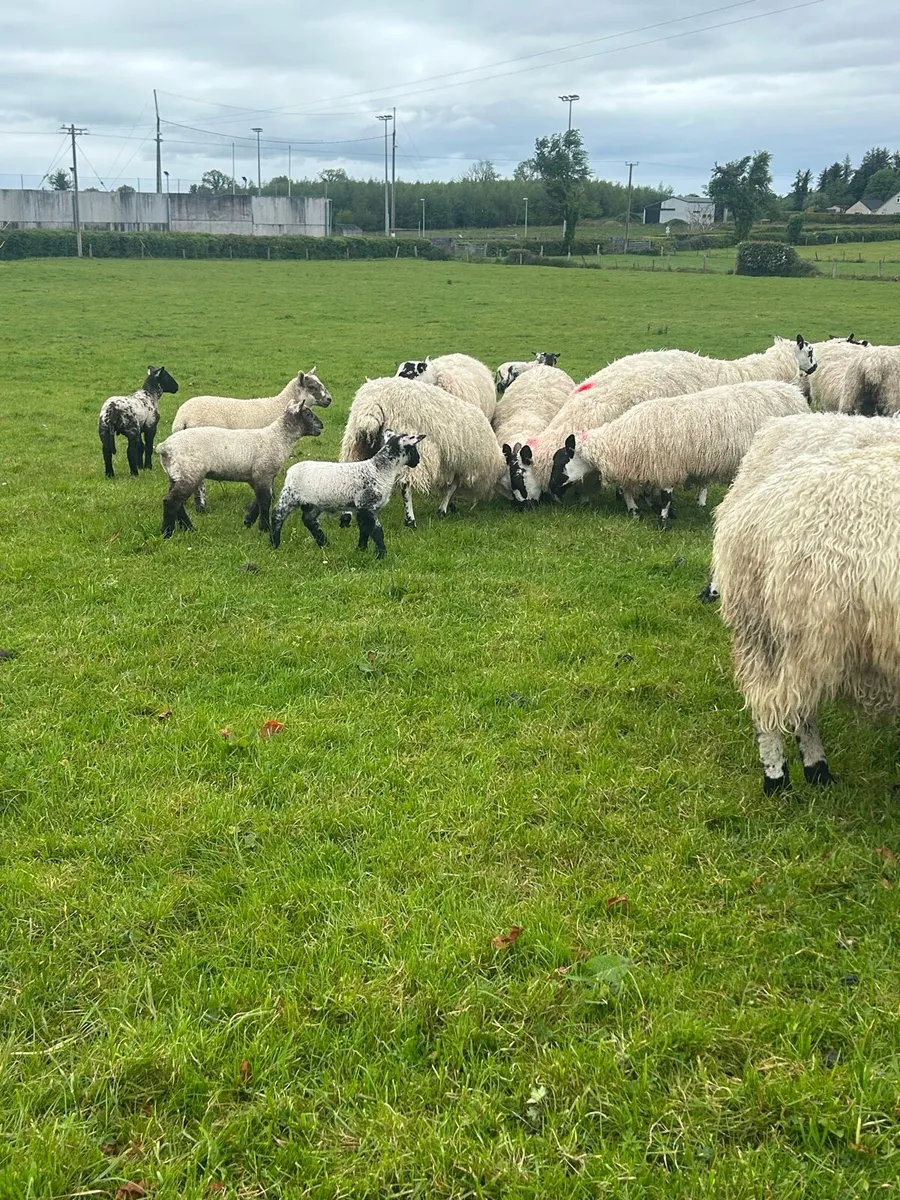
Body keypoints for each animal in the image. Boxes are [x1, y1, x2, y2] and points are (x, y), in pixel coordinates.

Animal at [155, 398, 323, 538]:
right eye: (308, 413)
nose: (322, 425)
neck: (278, 437)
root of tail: (165, 447)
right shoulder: (264, 473)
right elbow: (265, 501)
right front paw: (264, 528)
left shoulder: (259, 477)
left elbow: (259, 500)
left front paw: (248, 521)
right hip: (189, 473)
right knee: (171, 502)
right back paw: (167, 532)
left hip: (176, 474)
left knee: (177, 503)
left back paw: (188, 528)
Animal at [270, 433, 426, 557]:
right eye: (414, 448)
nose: (418, 460)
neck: (379, 470)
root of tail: (290, 471)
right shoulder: (367, 504)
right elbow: (376, 531)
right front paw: (382, 554)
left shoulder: (361, 507)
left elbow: (364, 529)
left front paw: (361, 549)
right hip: (290, 496)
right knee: (277, 515)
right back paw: (274, 544)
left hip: (313, 503)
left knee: (309, 520)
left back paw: (324, 543)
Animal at [339, 376, 505, 527]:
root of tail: (372, 406)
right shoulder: (461, 467)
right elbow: (451, 488)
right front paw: (443, 509)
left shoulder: (454, 465)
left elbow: (450, 488)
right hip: (410, 449)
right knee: (406, 485)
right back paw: (410, 520)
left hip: (357, 444)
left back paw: (346, 517)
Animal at [548, 380, 810, 523]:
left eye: (561, 463)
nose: (551, 490)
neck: (620, 440)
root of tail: (792, 392)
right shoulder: (641, 467)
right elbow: (633, 490)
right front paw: (636, 510)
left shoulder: (667, 465)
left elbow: (665, 496)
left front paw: (663, 520)